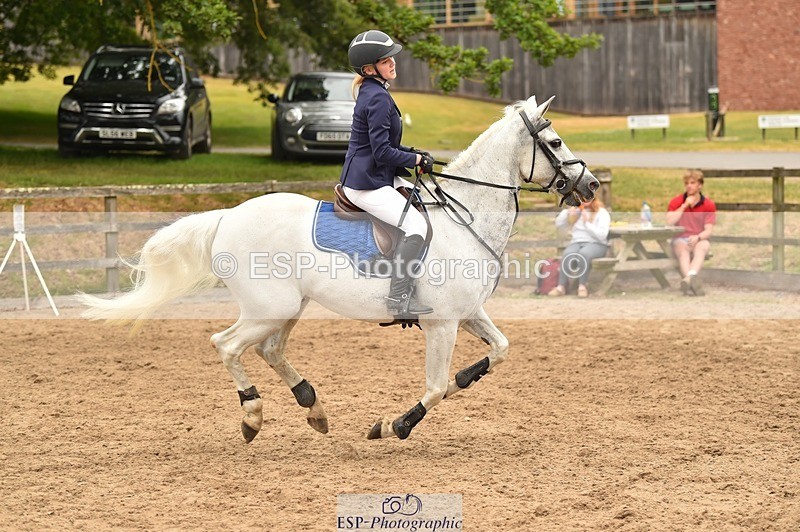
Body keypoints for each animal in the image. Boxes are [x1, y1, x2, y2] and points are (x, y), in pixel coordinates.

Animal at [79, 95, 599, 442]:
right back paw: (253, 416)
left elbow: (498, 353)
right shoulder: (443, 323)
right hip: (270, 306)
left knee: (268, 349)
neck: (464, 218)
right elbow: (433, 388)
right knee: (226, 344)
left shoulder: (467, 314)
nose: (591, 185)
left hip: (290, 306)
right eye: (554, 141)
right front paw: (394, 425)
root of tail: (229, 215)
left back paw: (312, 407)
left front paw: (455, 385)